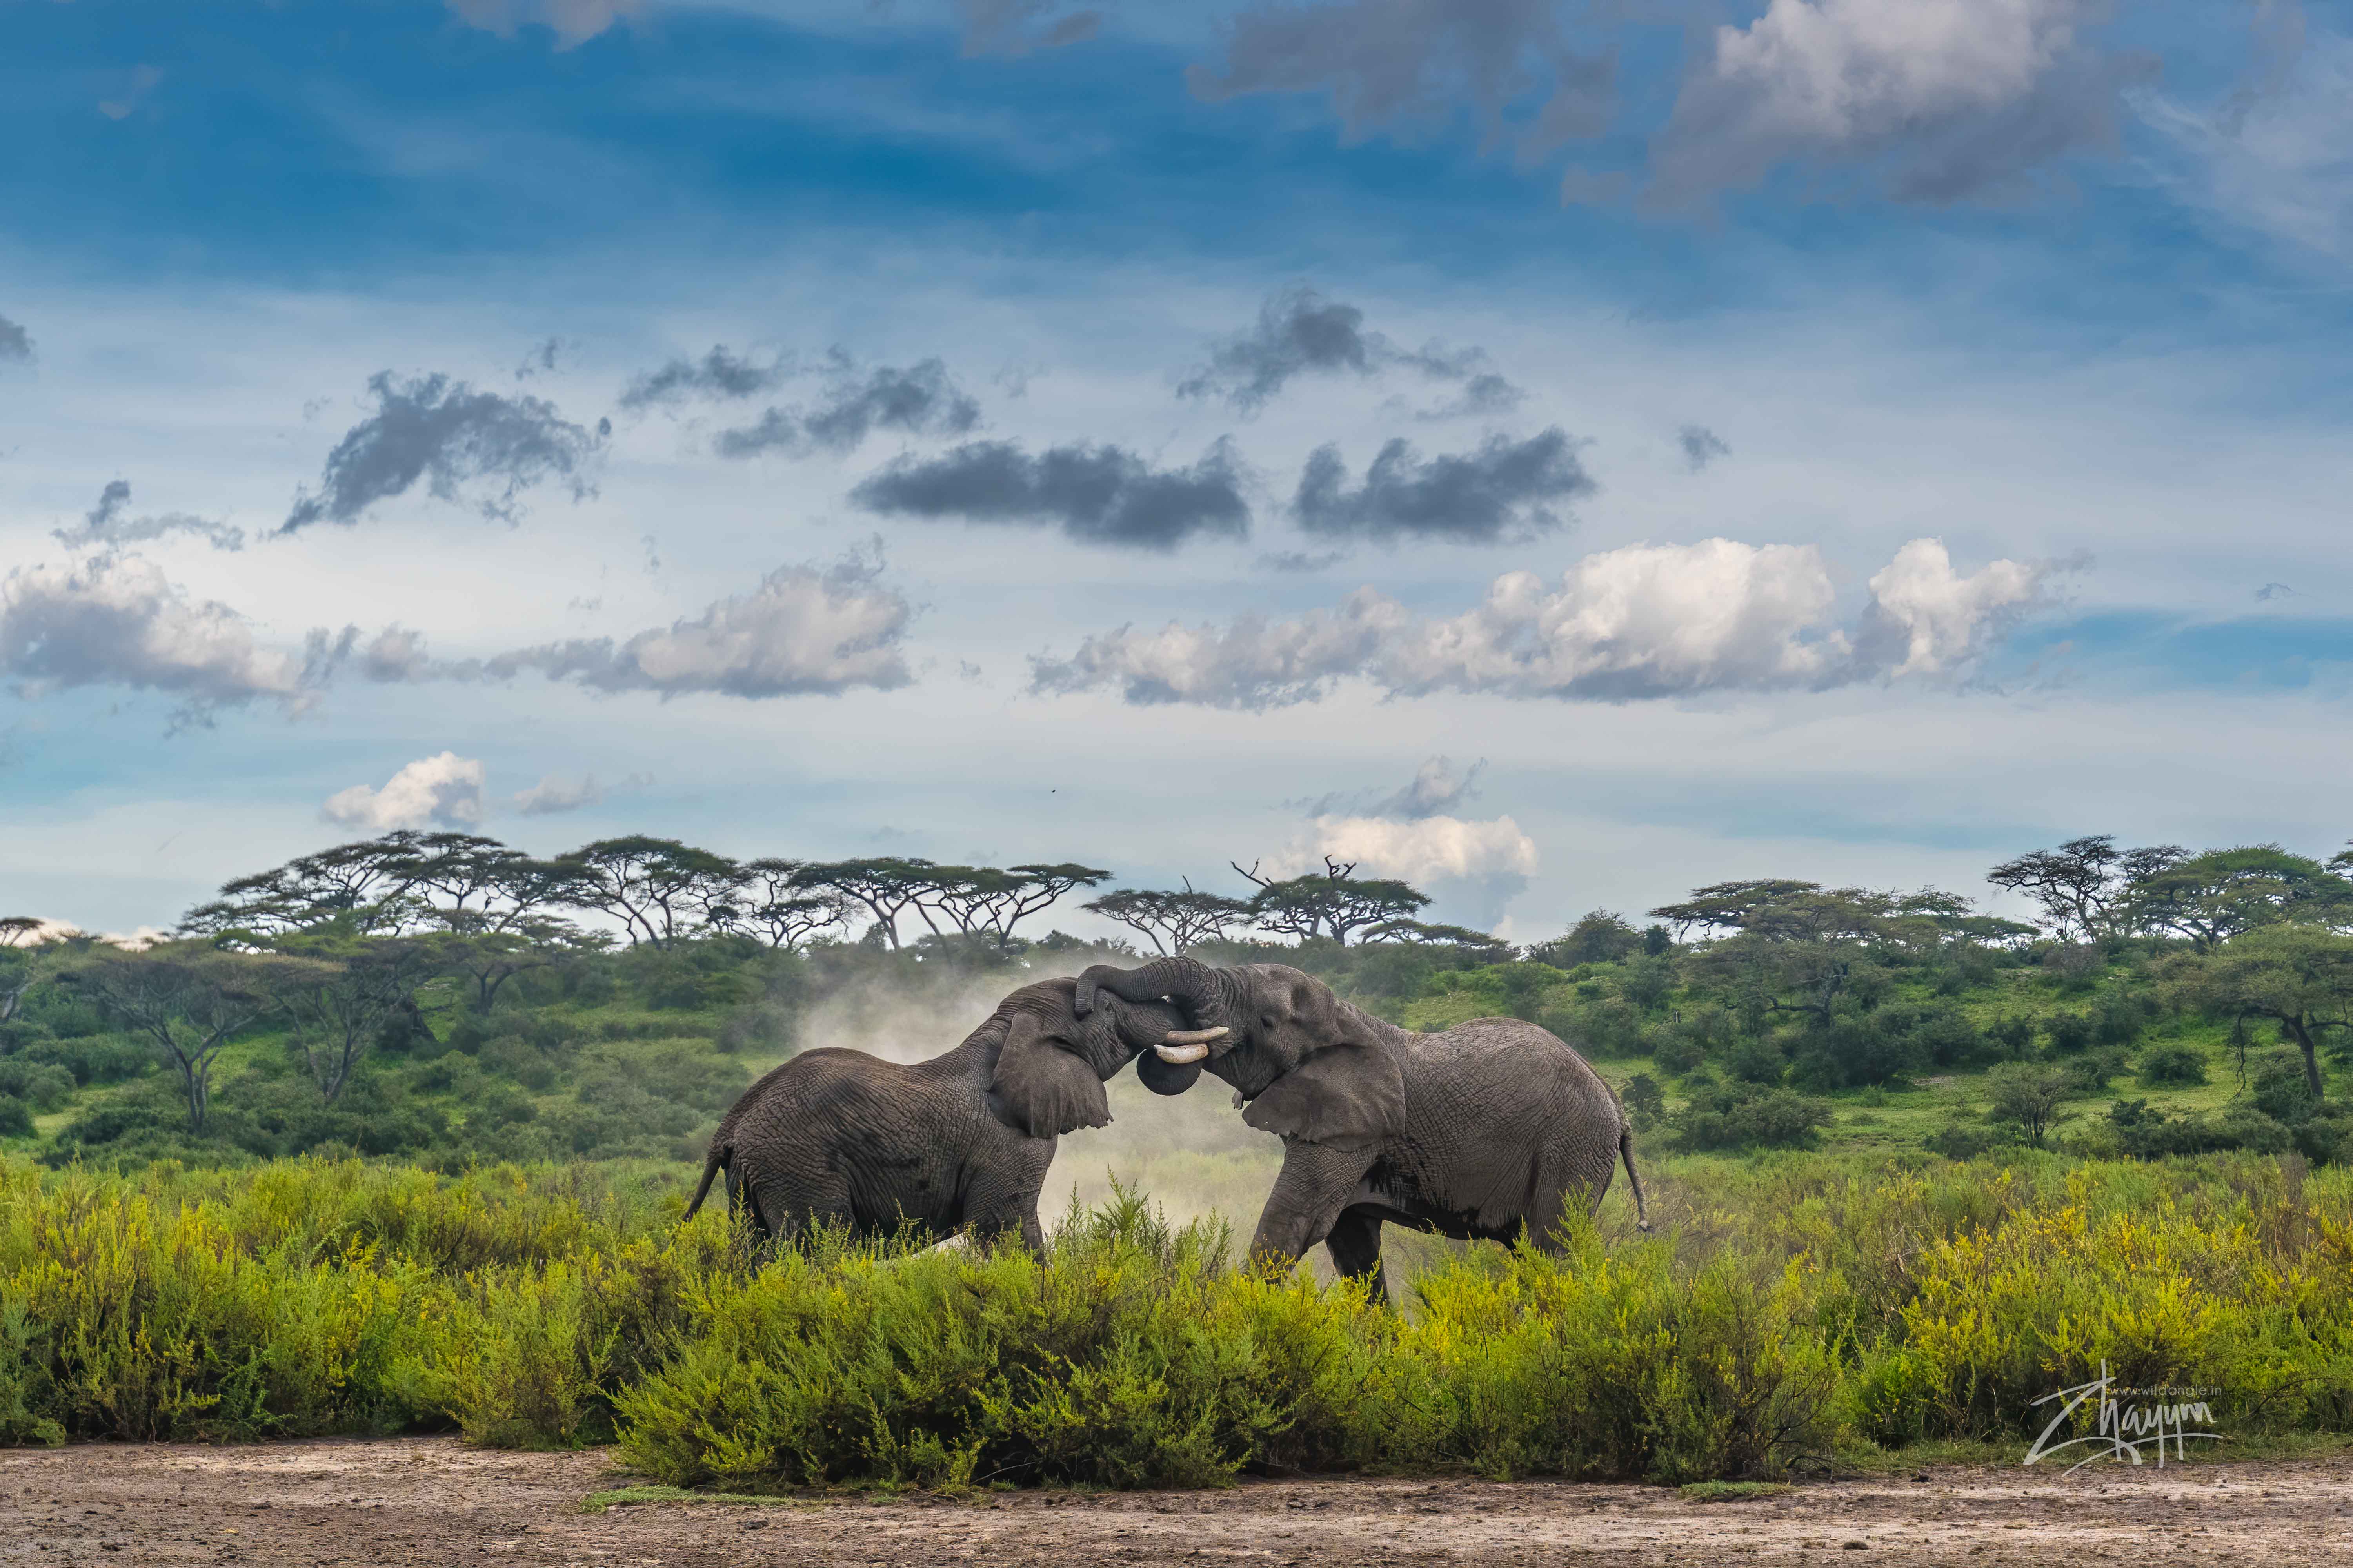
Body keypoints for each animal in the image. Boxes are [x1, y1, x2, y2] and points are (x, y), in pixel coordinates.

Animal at [684, 976, 1200, 1249]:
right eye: (1109, 1008)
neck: (1006, 1032)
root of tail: (731, 1125)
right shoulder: (1009, 1144)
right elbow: (1004, 1227)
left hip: (757, 1177)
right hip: (798, 1167)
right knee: (821, 1247)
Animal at [1075, 955, 1648, 1300]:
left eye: (1265, 1022)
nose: (1082, 1003)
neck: (1350, 1019)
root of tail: (1618, 1109)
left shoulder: (1354, 1130)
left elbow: (1295, 1221)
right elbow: (1351, 1244)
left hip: (1572, 1148)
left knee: (1550, 1248)